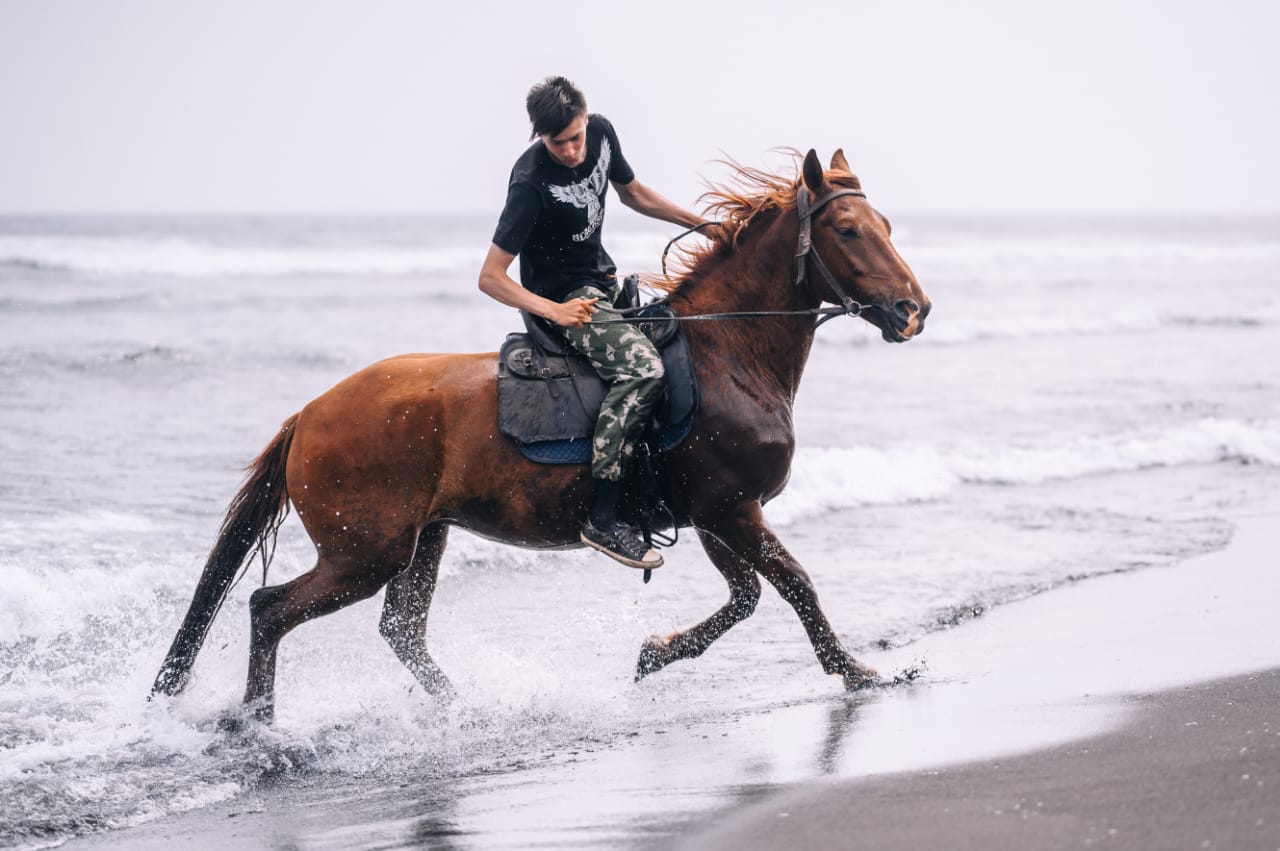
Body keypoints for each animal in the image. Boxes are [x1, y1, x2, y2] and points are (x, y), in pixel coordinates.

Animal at [152, 149, 931, 721]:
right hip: (363, 553)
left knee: (401, 631)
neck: (727, 354)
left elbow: (748, 597)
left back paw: (465, 710)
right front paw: (859, 672)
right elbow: (795, 586)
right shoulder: (731, 509)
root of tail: (309, 414)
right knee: (269, 609)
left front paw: (656, 651)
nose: (912, 310)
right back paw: (258, 723)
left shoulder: (715, 515)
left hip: (422, 540)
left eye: (888, 224)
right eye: (850, 231)